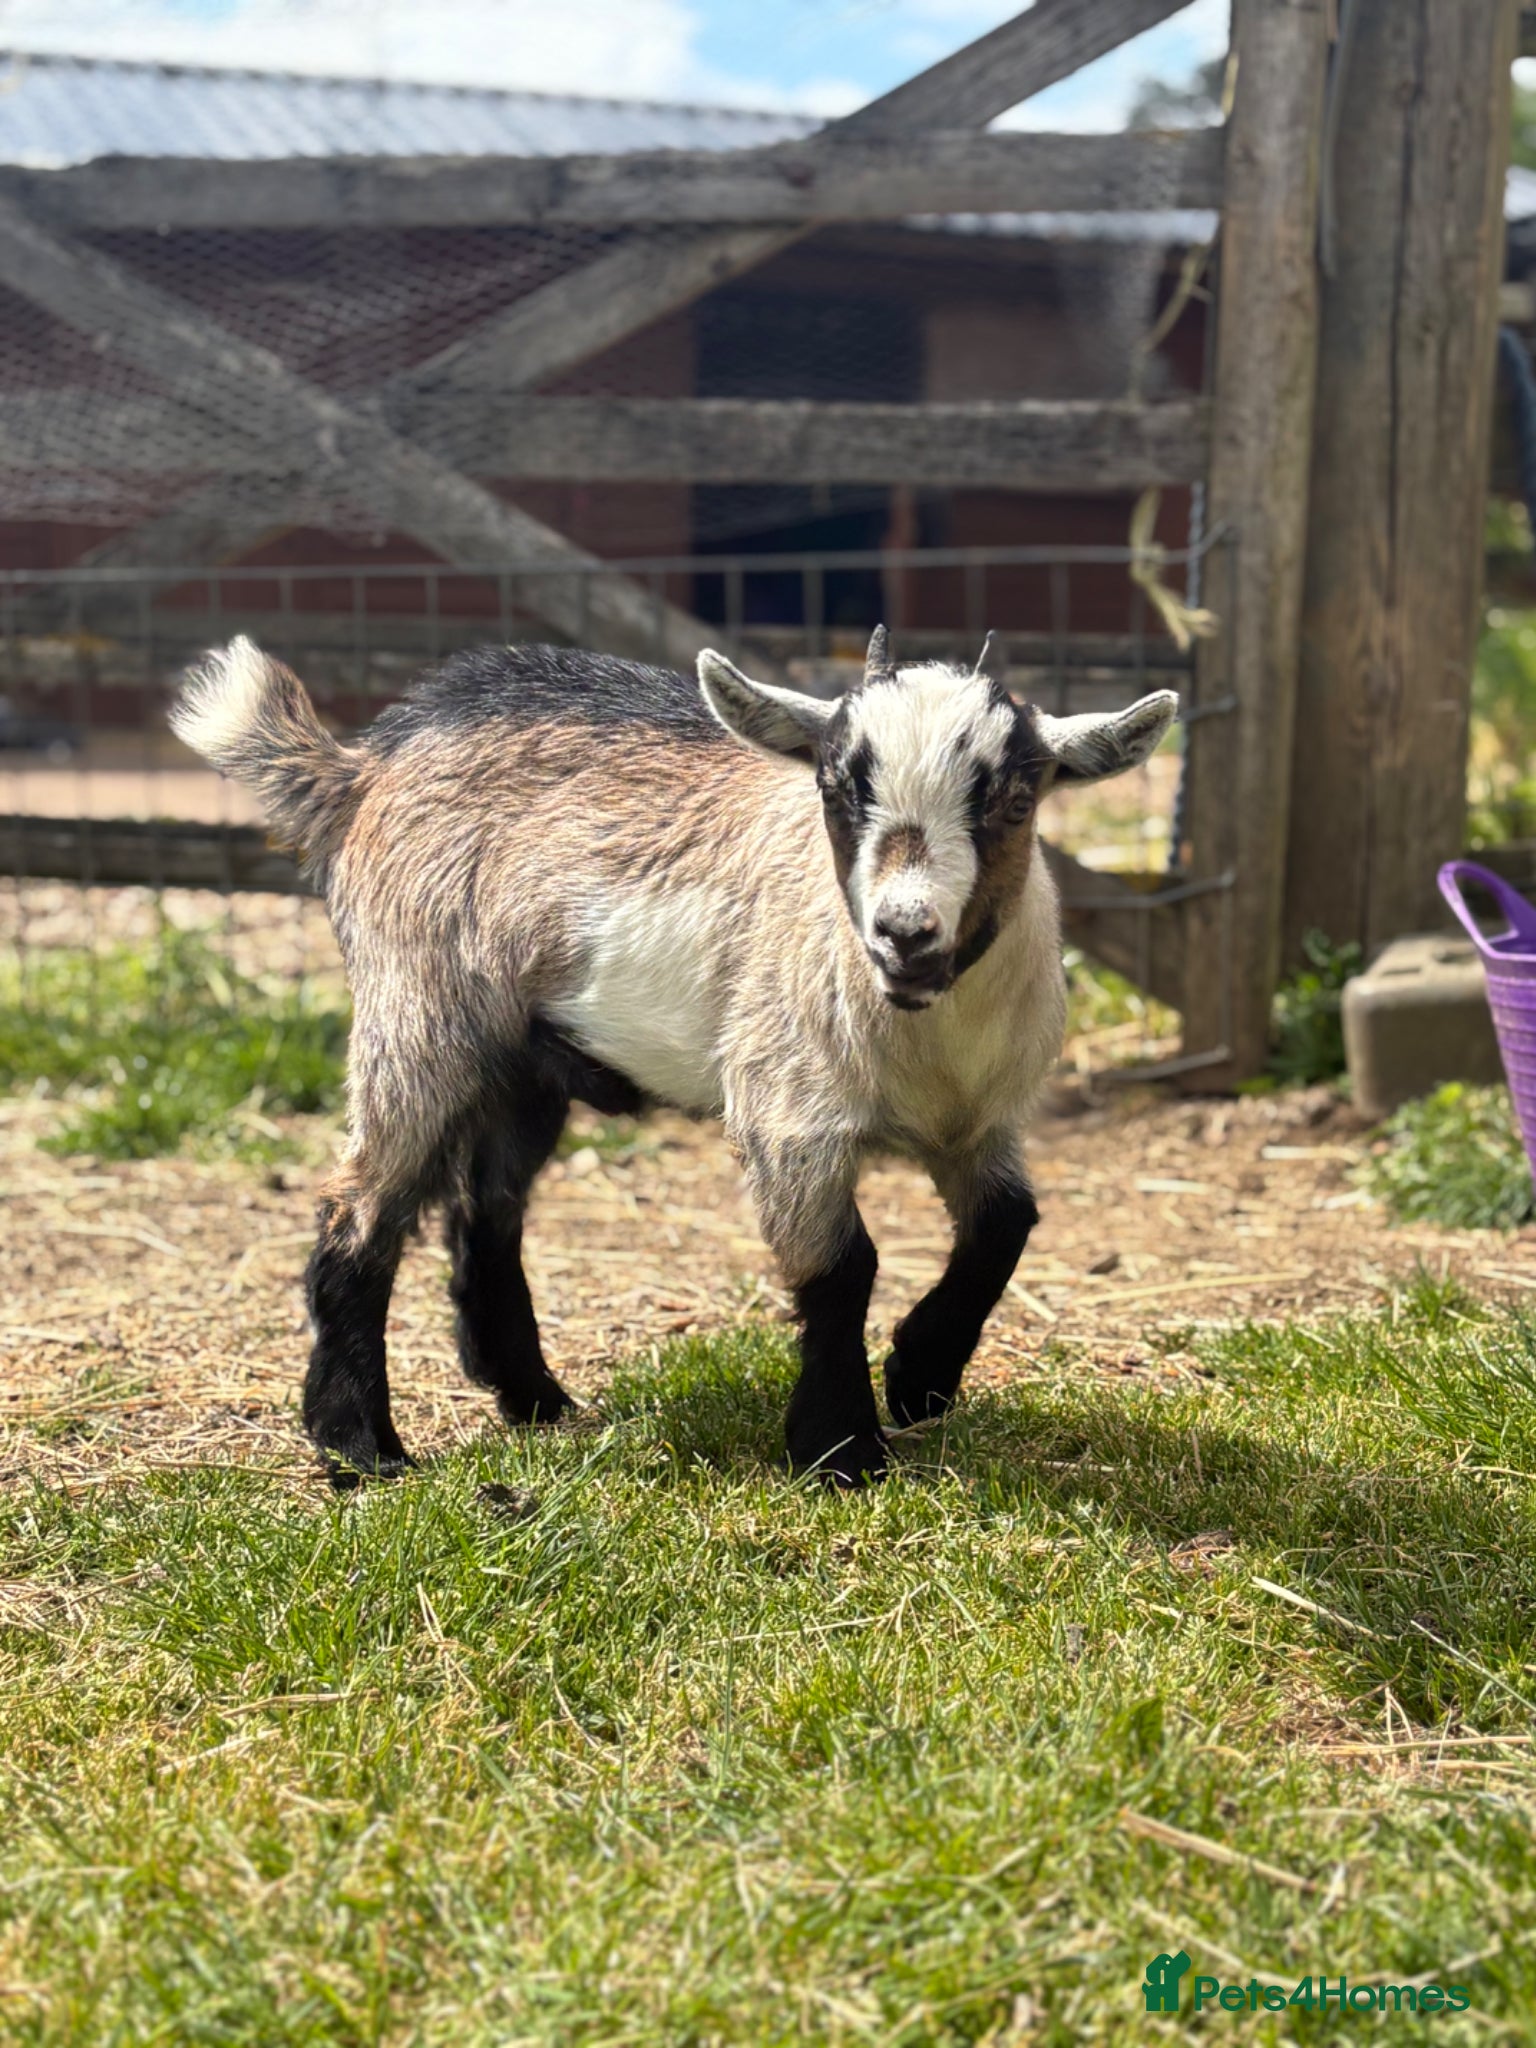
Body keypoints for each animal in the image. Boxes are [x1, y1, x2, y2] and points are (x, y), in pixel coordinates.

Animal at [171, 629, 1175, 1486]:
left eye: (1015, 799)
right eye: (835, 789)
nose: (904, 933)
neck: (927, 1038)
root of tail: (362, 769)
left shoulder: (982, 1123)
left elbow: (1009, 1223)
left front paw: (920, 1376)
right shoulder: (788, 1114)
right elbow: (841, 1269)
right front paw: (841, 1450)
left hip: (523, 1064)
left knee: (486, 1213)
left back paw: (535, 1399)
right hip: (416, 1012)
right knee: (360, 1211)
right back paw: (362, 1448)